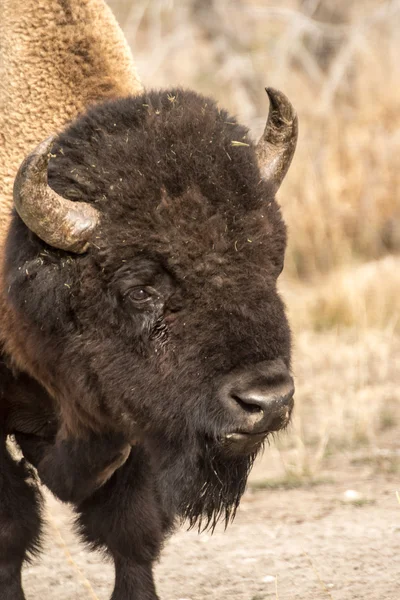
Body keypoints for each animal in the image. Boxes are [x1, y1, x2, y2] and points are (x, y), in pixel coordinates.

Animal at [0, 1, 296, 600]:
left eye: (272, 263)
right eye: (139, 289)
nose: (267, 400)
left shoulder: (137, 419)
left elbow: (131, 530)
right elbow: (11, 529)